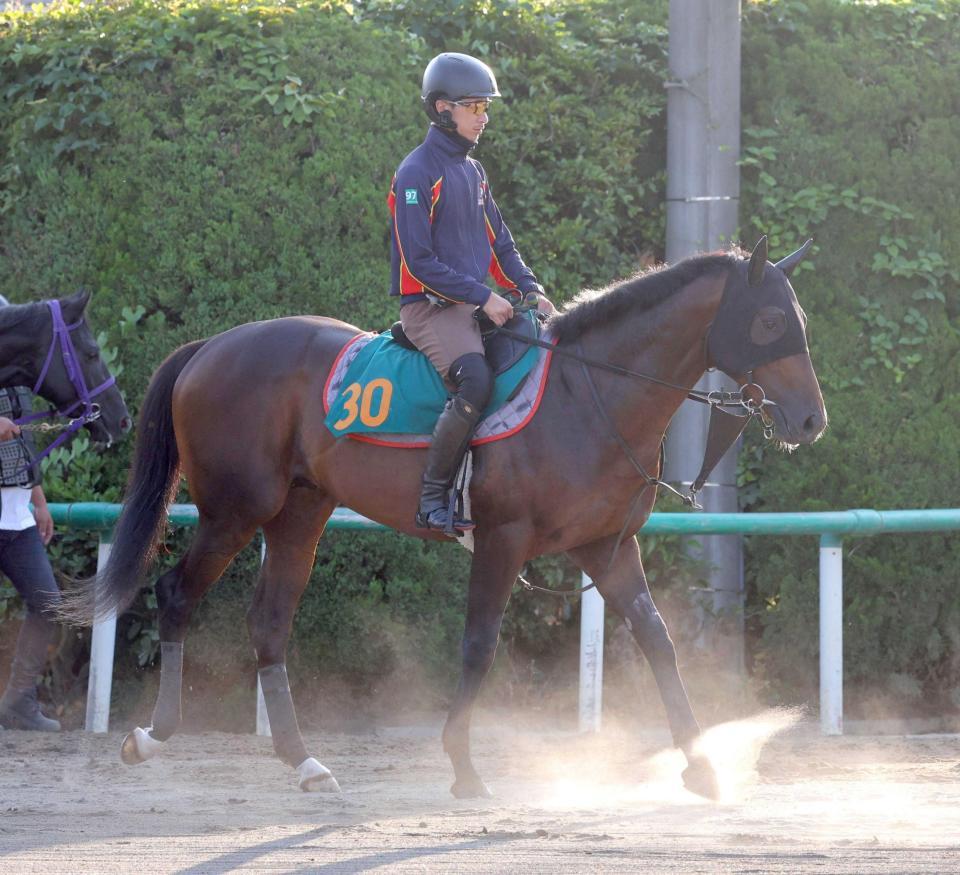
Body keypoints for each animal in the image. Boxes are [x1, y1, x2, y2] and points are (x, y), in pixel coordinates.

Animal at [62, 238, 824, 800]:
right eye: (767, 322)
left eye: (799, 320)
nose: (811, 421)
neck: (587, 394)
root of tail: (213, 347)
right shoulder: (503, 542)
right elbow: (479, 645)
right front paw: (463, 766)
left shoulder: (608, 548)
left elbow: (659, 643)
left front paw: (700, 764)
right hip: (234, 511)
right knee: (175, 594)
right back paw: (152, 734)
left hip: (299, 518)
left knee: (269, 624)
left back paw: (304, 760)